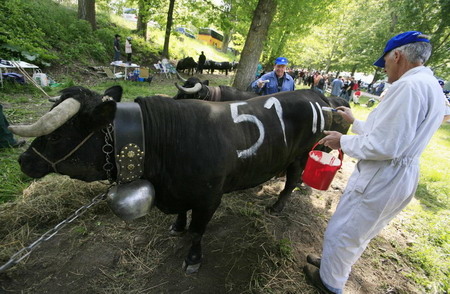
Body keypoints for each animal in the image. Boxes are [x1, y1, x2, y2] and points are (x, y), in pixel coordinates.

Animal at [8, 86, 350, 274]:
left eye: (58, 135)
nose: (23, 161)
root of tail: (313, 94)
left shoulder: (209, 197)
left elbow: (198, 231)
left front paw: (193, 258)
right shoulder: (182, 192)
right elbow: (184, 217)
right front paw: (177, 226)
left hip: (302, 154)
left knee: (292, 180)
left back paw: (278, 206)